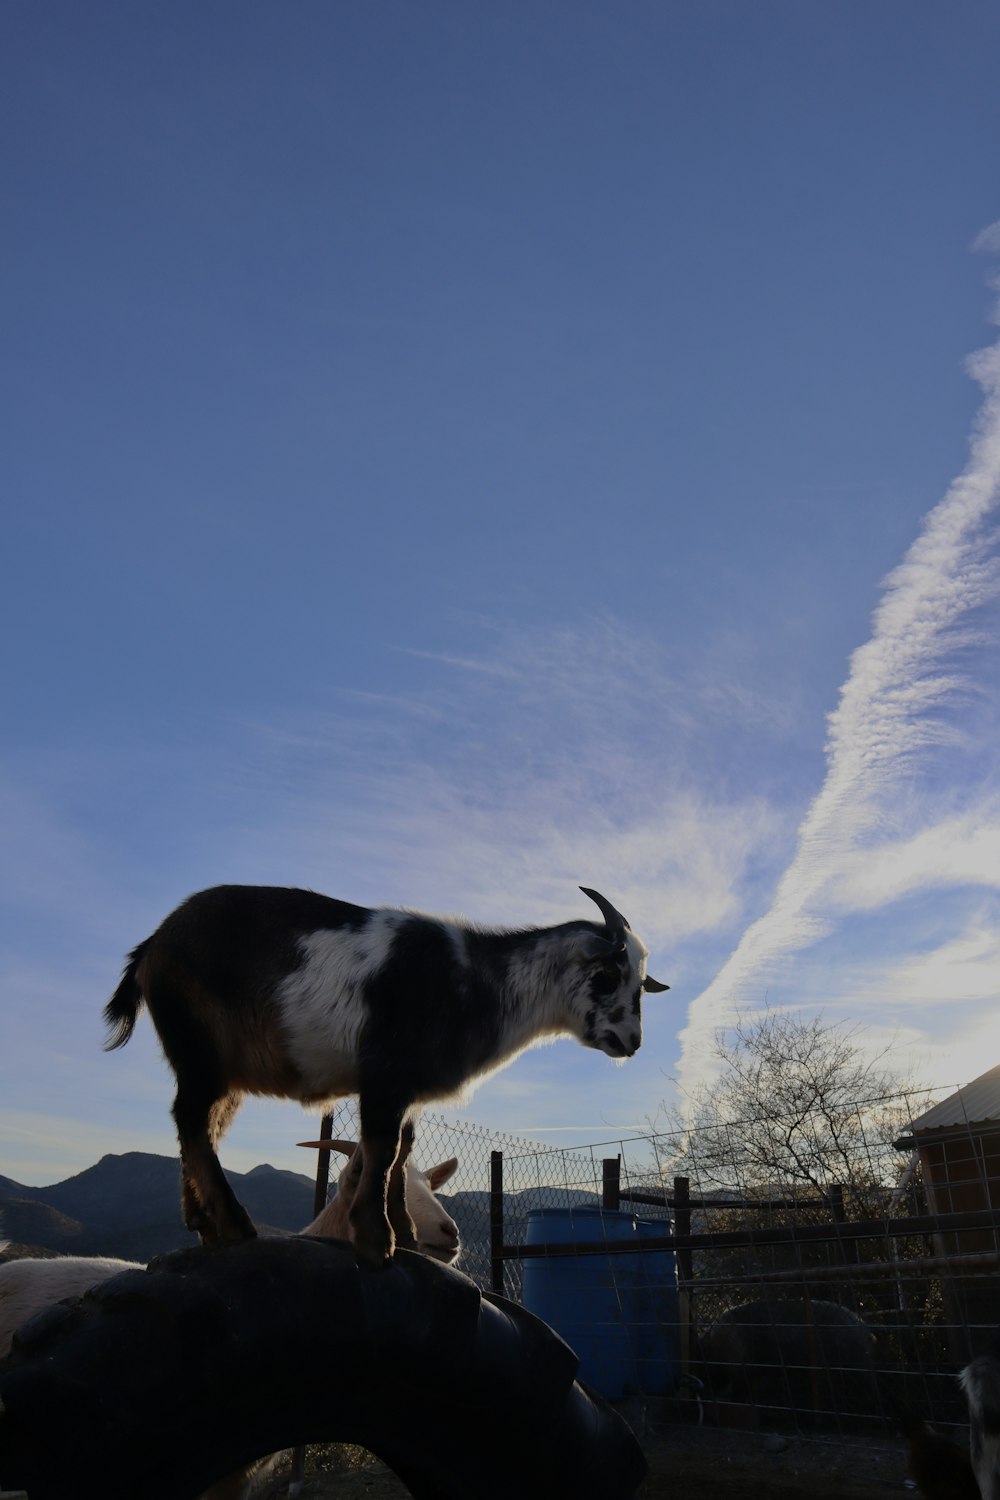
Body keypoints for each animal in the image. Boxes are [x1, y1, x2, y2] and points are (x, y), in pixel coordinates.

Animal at [105, 882, 668, 1260]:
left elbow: (399, 1155)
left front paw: (407, 1237)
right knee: (191, 1118)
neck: (480, 980)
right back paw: (234, 1225)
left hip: (220, 1066)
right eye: (607, 973)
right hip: (197, 1042)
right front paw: (378, 1240)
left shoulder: (409, 1092)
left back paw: (205, 1225)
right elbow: (380, 1149)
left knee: (202, 1124)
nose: (631, 1041)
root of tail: (152, 946)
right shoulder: (385, 1074)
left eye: (641, 984)